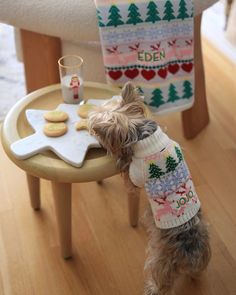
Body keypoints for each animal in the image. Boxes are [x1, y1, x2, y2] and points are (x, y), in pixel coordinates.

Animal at [88, 82, 210, 295]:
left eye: (98, 133)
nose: (92, 132)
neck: (140, 132)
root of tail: (190, 254)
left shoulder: (136, 175)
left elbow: (130, 179)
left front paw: (122, 159)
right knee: (197, 272)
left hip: (159, 260)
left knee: (161, 282)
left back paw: (152, 287)